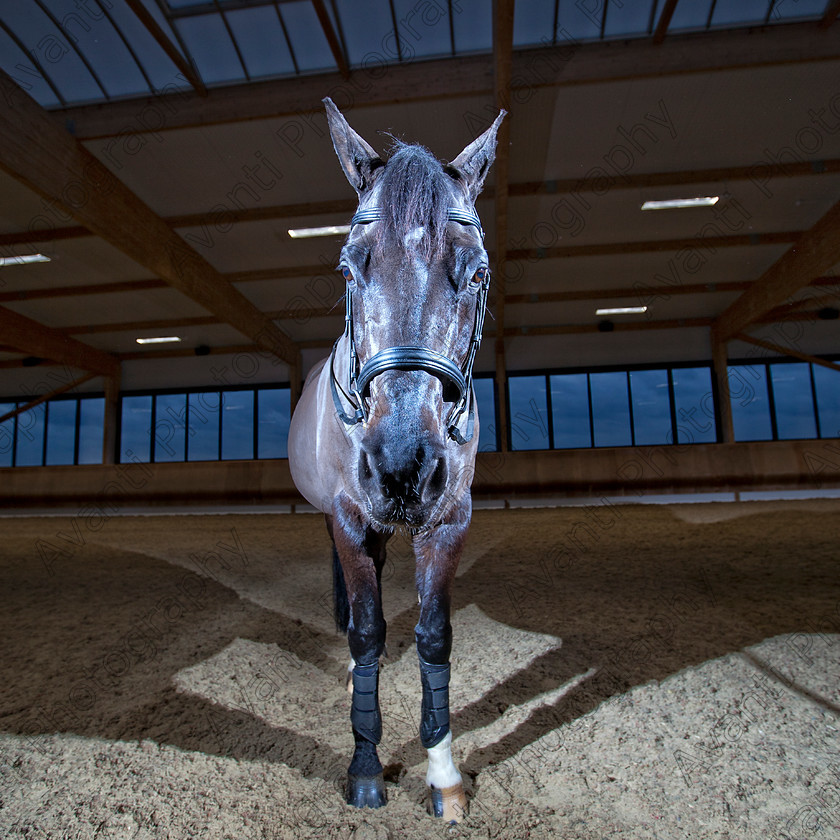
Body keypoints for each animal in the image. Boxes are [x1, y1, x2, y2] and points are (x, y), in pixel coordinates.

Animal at [288, 97, 502, 820]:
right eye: (349, 267)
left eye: (476, 271)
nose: (402, 469)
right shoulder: (350, 517)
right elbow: (367, 633)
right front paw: (364, 768)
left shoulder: (450, 521)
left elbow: (435, 637)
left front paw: (443, 775)